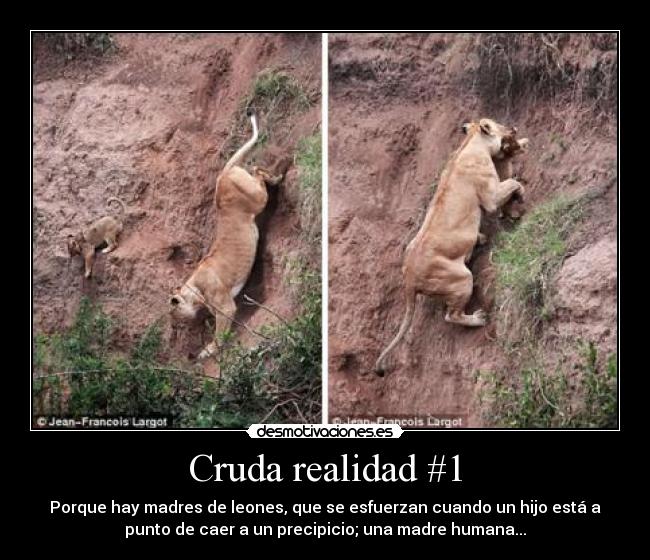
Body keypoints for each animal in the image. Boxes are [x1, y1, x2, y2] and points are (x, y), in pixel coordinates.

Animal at [169, 109, 284, 360]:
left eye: (176, 316)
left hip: (256, 198)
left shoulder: (225, 307)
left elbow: (220, 334)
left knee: (258, 172)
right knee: (255, 169)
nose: (178, 328)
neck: (195, 287)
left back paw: (277, 177)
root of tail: (223, 172)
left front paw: (208, 351)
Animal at [374, 118, 526, 374]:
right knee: (451, 315)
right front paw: (520, 196)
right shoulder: (491, 196)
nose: (513, 129)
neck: (470, 144)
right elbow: (513, 183)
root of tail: (409, 279)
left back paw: (480, 239)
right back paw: (478, 318)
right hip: (461, 279)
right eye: (501, 126)